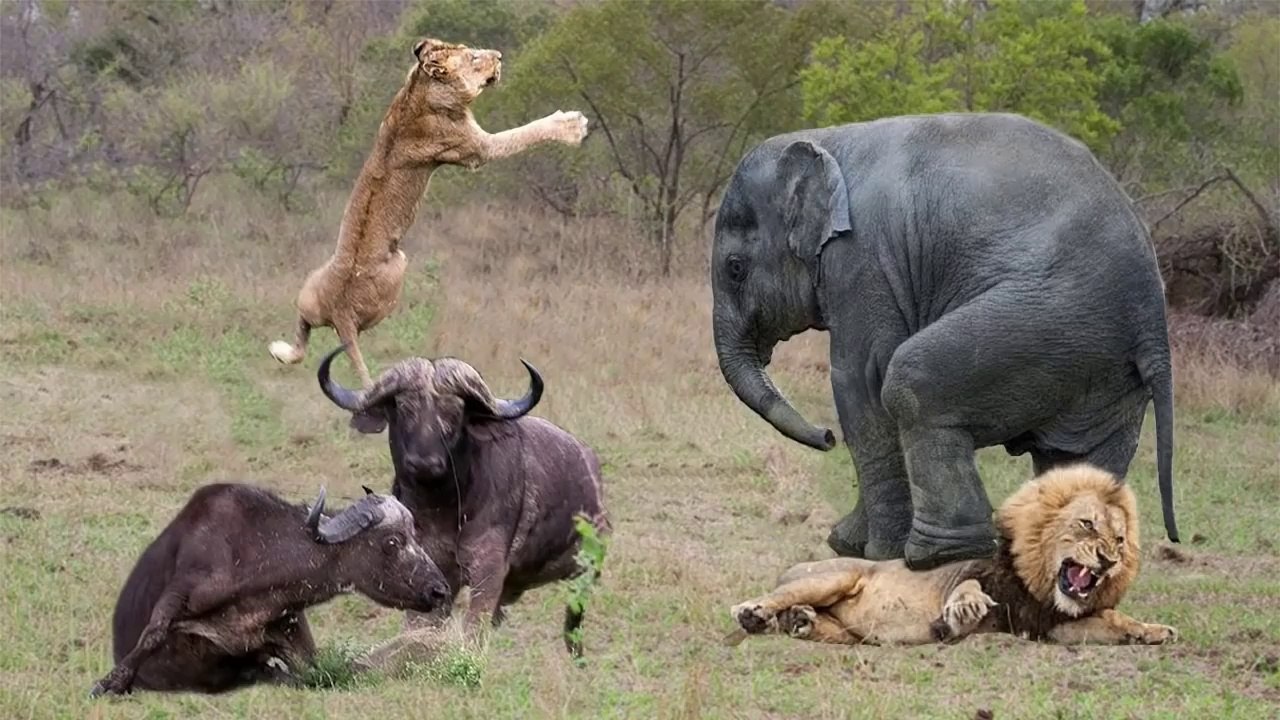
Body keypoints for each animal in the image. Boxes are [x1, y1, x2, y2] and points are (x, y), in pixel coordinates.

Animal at [269, 37, 589, 432]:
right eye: (474, 57)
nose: (499, 56)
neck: (418, 91)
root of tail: (341, 313)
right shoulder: (478, 149)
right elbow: (526, 132)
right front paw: (572, 125)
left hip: (310, 291)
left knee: (303, 330)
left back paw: (281, 352)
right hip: (398, 269)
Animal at [710, 112, 1178, 571]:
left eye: (735, 268)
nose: (825, 437)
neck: (829, 140)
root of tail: (1152, 320)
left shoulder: (863, 260)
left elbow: (860, 381)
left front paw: (870, 551)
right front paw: (848, 543)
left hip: (1050, 320)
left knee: (910, 384)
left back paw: (936, 554)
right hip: (1103, 364)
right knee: (1076, 460)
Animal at [728, 464, 1177, 647]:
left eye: (1120, 540)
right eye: (1086, 524)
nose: (1109, 561)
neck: (1039, 585)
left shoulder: (1048, 626)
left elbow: (1113, 621)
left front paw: (1153, 631)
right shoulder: (970, 572)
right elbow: (969, 584)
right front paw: (965, 611)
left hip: (851, 632)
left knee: (820, 625)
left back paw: (799, 621)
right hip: (830, 577)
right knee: (775, 598)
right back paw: (755, 613)